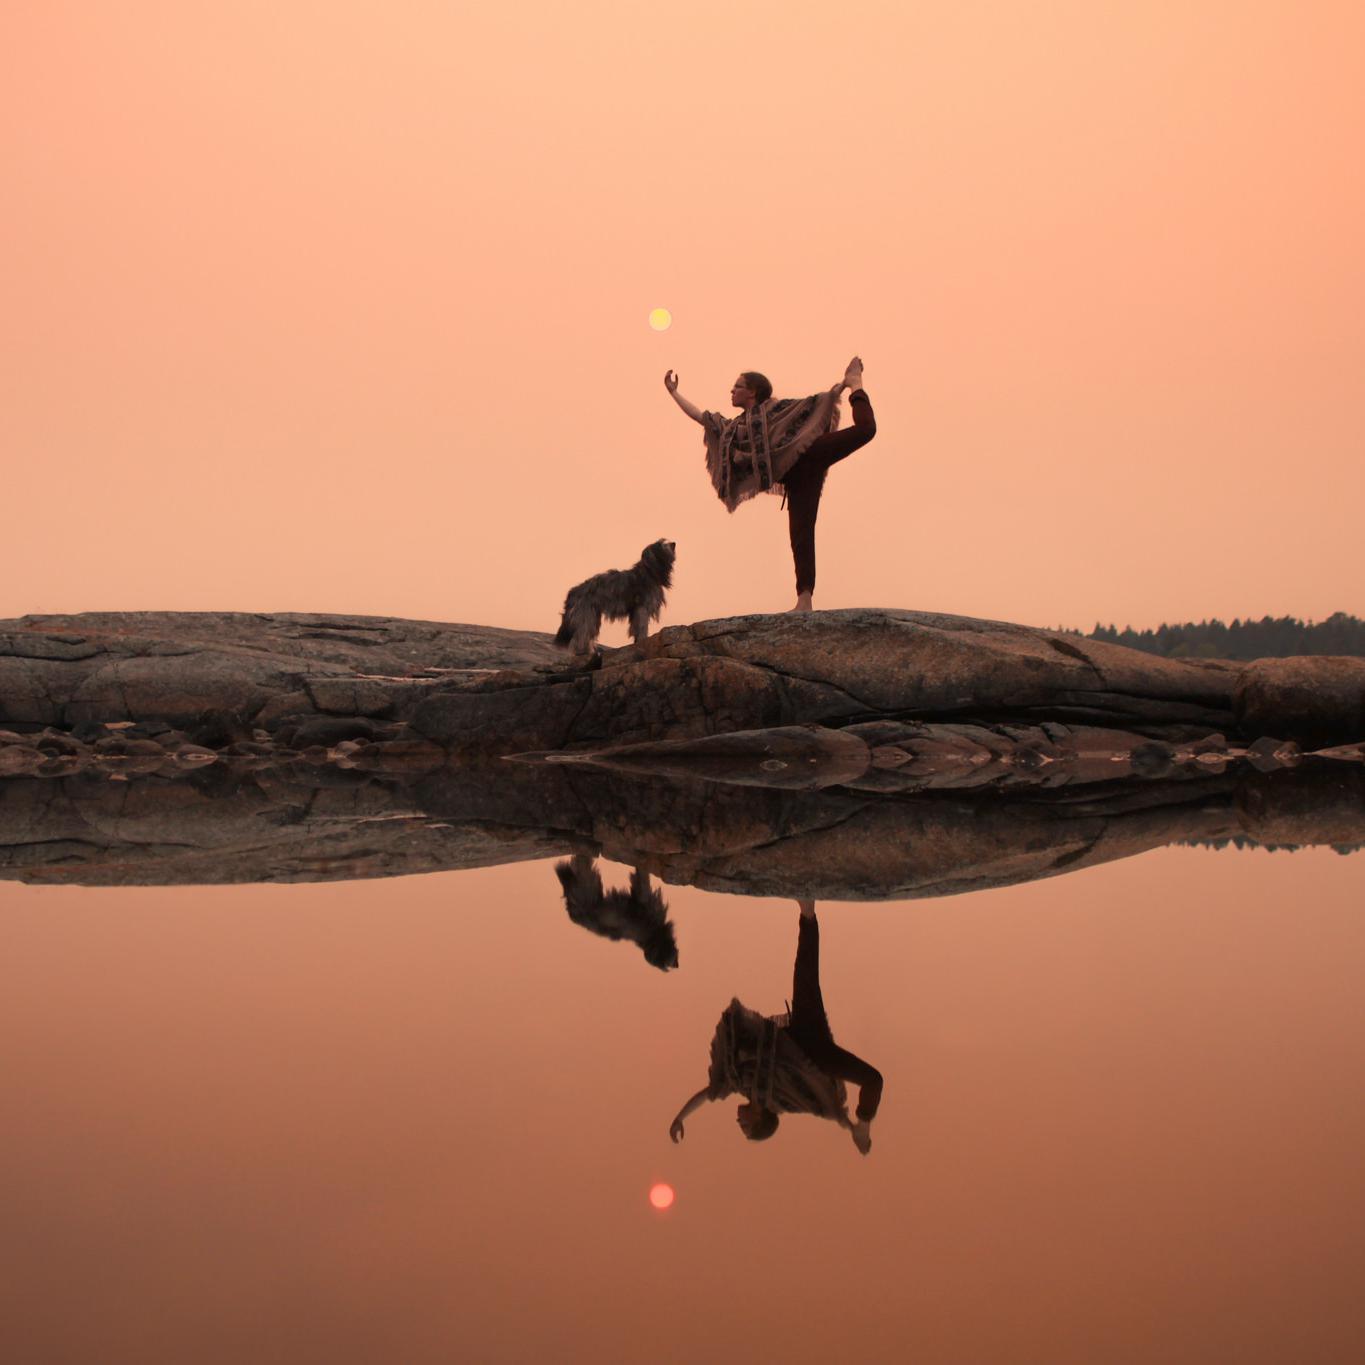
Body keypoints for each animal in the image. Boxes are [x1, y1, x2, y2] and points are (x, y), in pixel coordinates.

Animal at [551, 851, 679, 971]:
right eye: (667, 958)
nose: (676, 964)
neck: (652, 937)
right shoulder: (644, 902)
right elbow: (642, 878)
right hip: (587, 886)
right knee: (581, 864)